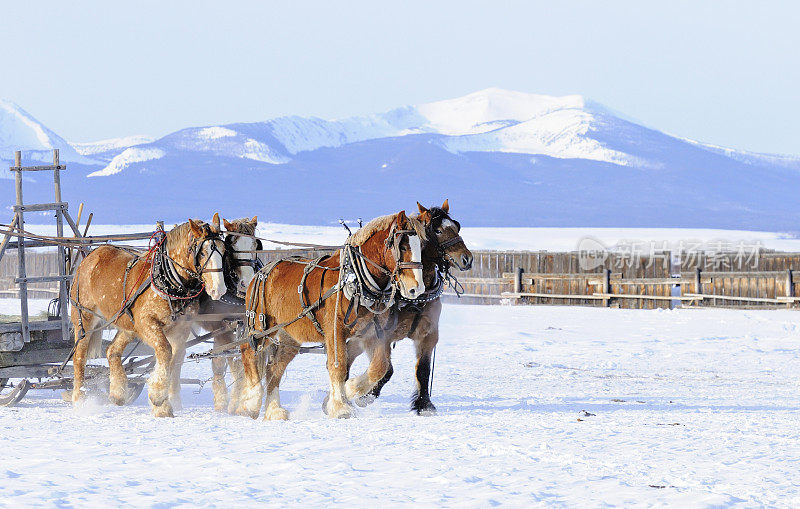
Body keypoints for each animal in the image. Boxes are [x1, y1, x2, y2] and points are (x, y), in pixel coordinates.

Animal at [69, 214, 227, 416]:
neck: (169, 282)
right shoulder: (147, 324)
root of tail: (89, 257)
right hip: (84, 319)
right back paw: (79, 399)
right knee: (79, 357)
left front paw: (169, 401)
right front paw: (159, 399)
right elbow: (165, 351)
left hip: (127, 325)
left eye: (223, 250)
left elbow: (175, 360)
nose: (218, 289)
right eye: (203, 252)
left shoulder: (181, 329)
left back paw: (118, 393)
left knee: (112, 351)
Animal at [236, 208, 424, 418]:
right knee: (248, 351)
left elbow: (380, 366)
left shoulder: (372, 333)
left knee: (274, 368)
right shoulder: (335, 330)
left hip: (289, 336)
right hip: (261, 327)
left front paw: (350, 390)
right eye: (403, 246)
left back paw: (274, 409)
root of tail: (259, 273)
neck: (355, 279)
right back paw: (250, 402)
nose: (416, 288)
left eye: (421, 245)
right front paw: (340, 406)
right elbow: (339, 365)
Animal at [342, 198, 472, 412]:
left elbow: (423, 369)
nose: (467, 258)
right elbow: (386, 369)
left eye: (456, 226)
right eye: (437, 230)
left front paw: (424, 404)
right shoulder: (381, 335)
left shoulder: (429, 333)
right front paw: (365, 395)